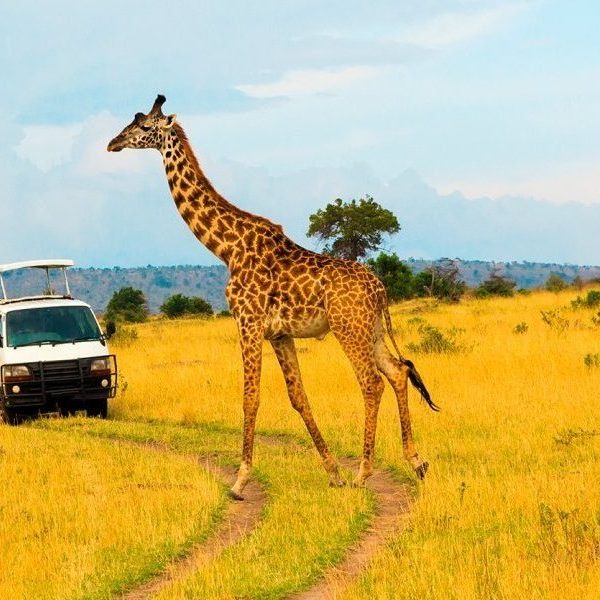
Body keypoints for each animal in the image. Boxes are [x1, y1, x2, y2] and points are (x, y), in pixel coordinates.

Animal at [107, 95, 439, 500]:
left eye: (142, 126)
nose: (112, 143)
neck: (227, 247)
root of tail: (380, 290)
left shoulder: (247, 321)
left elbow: (250, 397)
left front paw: (239, 480)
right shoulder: (279, 333)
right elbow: (298, 397)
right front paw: (332, 471)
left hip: (348, 328)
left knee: (372, 382)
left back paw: (364, 472)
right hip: (370, 329)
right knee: (398, 371)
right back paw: (416, 462)